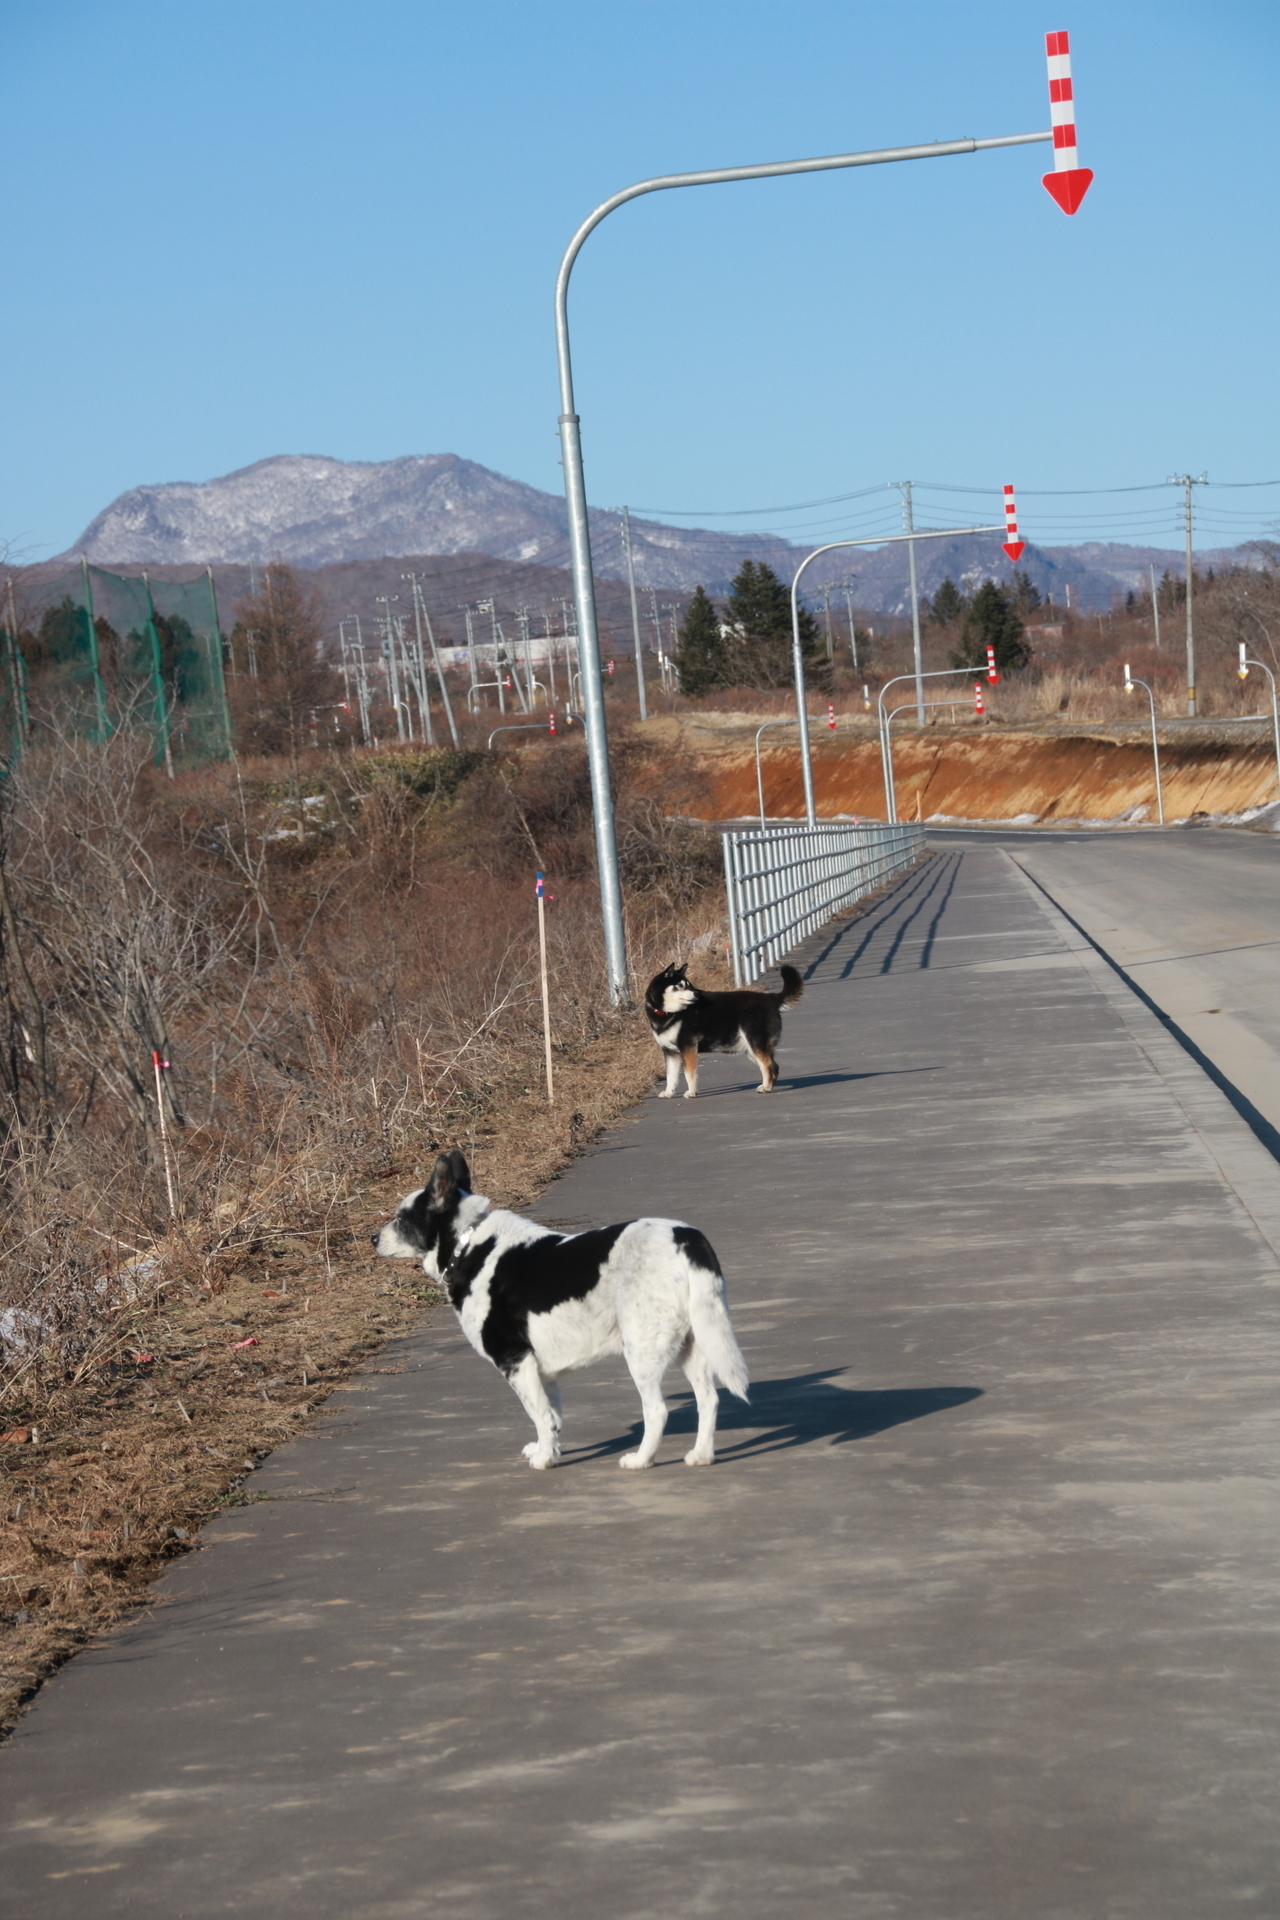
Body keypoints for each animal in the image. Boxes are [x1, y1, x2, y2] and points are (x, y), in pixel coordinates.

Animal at [372, 1152, 752, 1466]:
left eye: (402, 1220)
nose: (372, 1239)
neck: (466, 1244)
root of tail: (688, 1239)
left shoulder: (515, 1361)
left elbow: (539, 1415)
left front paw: (544, 1460)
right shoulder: (541, 1370)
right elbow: (552, 1417)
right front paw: (548, 1451)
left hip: (641, 1352)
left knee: (657, 1411)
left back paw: (640, 1461)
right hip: (695, 1344)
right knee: (708, 1401)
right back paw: (701, 1456)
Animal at [644, 960, 805, 1098]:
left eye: (689, 985)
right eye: (681, 985)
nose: (696, 993)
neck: (668, 1013)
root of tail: (772, 999)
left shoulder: (687, 1047)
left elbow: (689, 1073)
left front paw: (691, 1092)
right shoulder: (670, 1052)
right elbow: (671, 1076)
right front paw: (669, 1093)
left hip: (756, 1044)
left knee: (768, 1066)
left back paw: (765, 1087)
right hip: (751, 1049)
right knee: (773, 1066)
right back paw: (768, 1087)